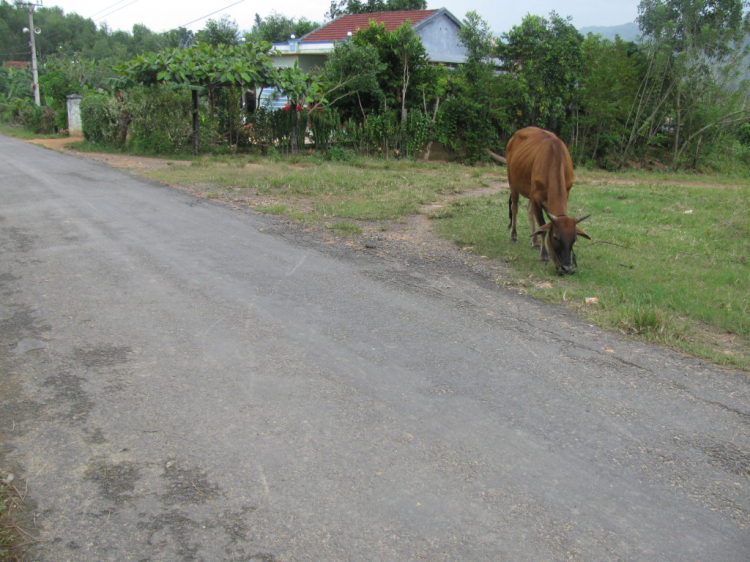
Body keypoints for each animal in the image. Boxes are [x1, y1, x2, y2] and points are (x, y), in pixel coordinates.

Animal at [506, 127, 592, 276]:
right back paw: (514, 236)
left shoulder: (565, 192)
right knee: (515, 208)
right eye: (556, 238)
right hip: (513, 184)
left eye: (574, 239)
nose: (566, 267)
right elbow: (542, 227)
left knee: (529, 212)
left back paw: (534, 243)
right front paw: (544, 257)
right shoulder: (535, 197)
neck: (553, 160)